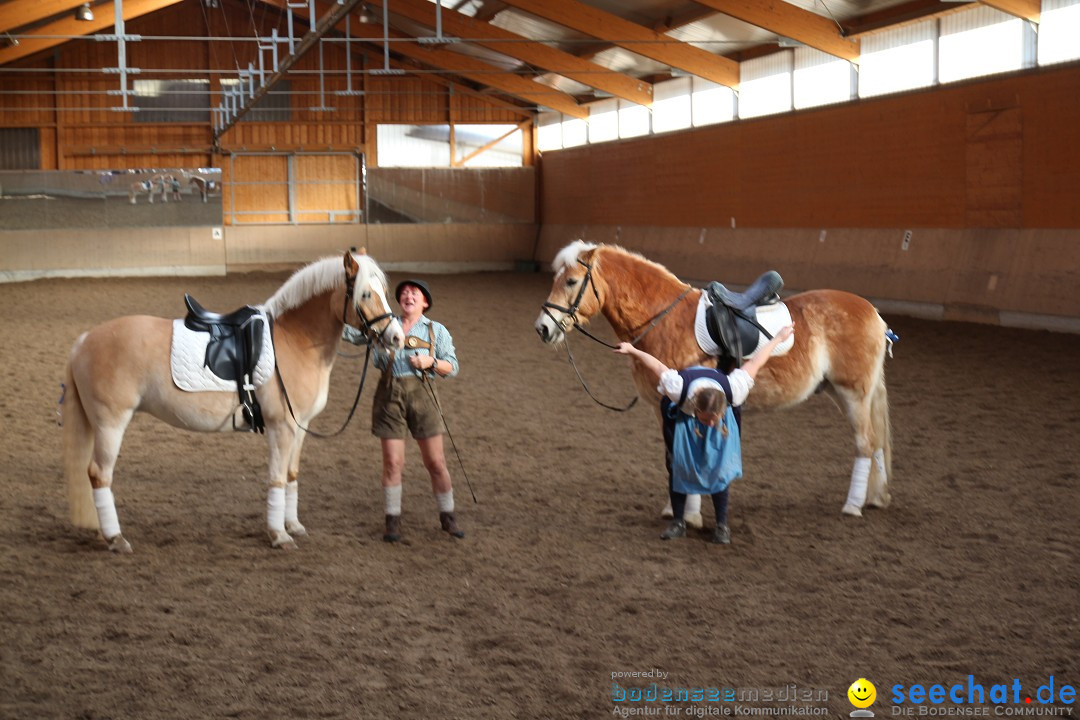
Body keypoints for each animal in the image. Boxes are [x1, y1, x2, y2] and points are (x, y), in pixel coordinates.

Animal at [65, 249, 406, 552]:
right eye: (365, 294)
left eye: (382, 291)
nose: (397, 338)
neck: (296, 339)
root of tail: (84, 341)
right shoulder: (281, 427)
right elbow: (277, 479)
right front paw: (279, 535)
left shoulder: (300, 427)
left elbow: (291, 475)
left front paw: (293, 525)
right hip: (111, 424)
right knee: (99, 474)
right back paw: (115, 538)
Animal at [533, 240, 894, 524]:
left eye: (571, 281)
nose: (543, 328)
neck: (664, 319)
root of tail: (873, 313)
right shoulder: (664, 404)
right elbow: (673, 456)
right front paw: (674, 509)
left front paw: (690, 515)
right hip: (841, 392)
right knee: (876, 442)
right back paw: (874, 498)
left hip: (854, 392)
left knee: (865, 443)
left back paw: (852, 506)